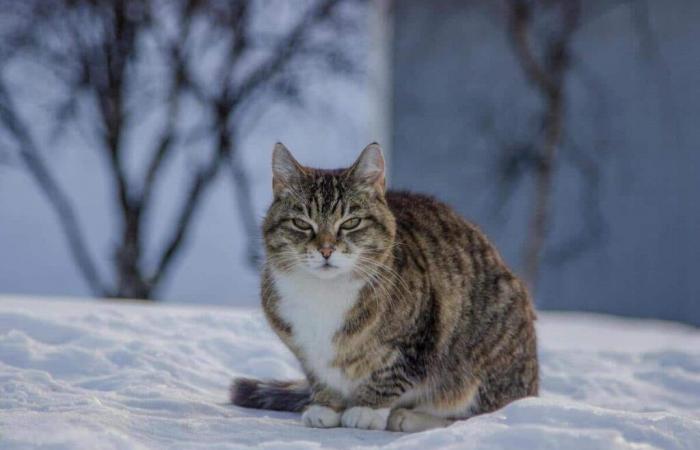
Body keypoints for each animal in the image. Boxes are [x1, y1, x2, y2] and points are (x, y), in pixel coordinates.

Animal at [232, 143, 540, 432]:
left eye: (351, 222)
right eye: (301, 223)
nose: (326, 249)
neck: (325, 294)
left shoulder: (416, 333)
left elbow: (391, 372)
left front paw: (367, 410)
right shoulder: (303, 347)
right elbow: (319, 373)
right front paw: (326, 406)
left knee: (477, 413)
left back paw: (409, 417)